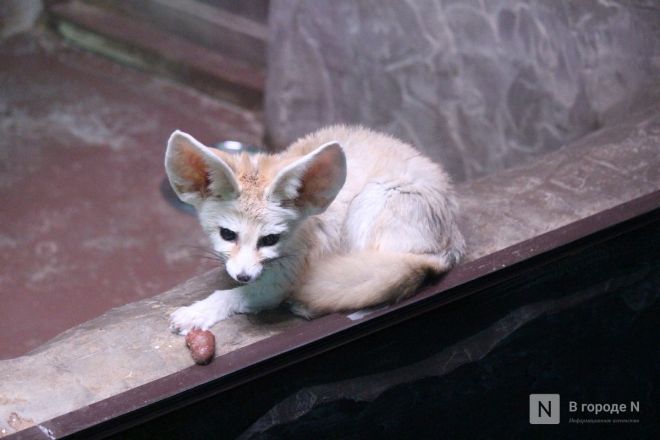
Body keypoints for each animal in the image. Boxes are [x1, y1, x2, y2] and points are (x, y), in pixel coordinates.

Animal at [165, 125, 464, 336]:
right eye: (227, 235)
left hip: (372, 199)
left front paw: (197, 312)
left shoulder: (284, 277)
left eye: (270, 239)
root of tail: (452, 242)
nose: (243, 276)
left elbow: (233, 296)